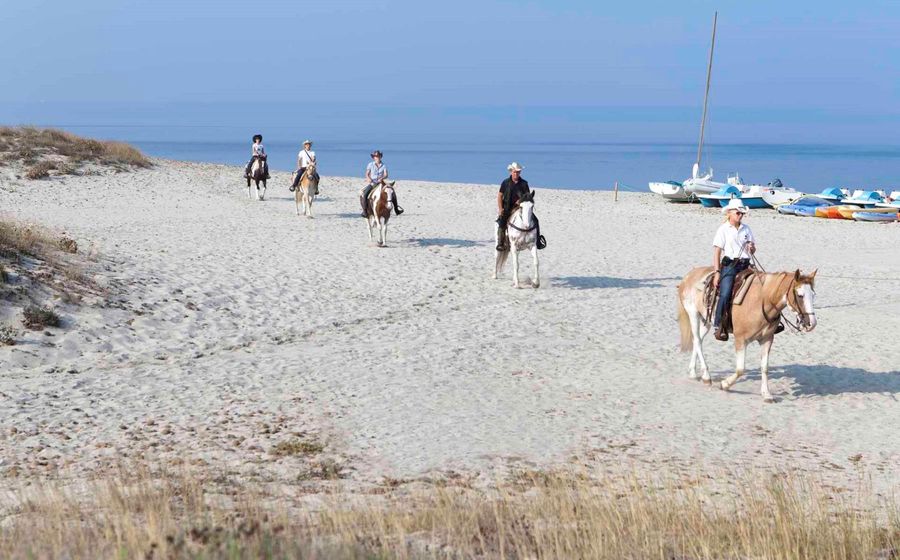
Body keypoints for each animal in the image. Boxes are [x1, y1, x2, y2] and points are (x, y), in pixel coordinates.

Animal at [677, 267, 818, 402]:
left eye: (813, 295)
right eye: (800, 295)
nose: (812, 323)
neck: (762, 301)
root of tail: (690, 275)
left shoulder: (767, 339)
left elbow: (764, 367)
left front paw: (766, 394)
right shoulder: (741, 340)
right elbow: (740, 369)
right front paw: (725, 384)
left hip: (706, 320)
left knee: (697, 340)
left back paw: (693, 372)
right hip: (693, 314)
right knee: (697, 340)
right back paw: (706, 376)